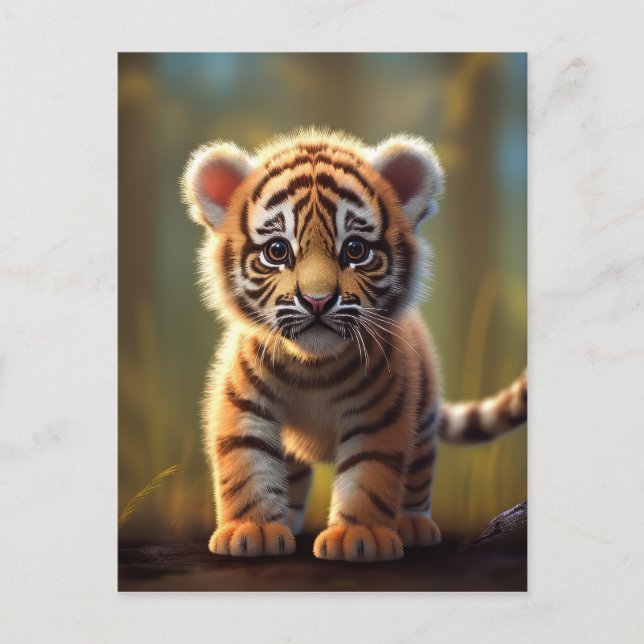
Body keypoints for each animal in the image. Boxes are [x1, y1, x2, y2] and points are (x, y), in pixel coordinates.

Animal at [181, 128, 527, 562]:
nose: (316, 301)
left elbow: (368, 476)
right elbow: (248, 464)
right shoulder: (244, 403)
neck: (311, 365)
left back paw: (413, 524)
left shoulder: (381, 413)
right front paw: (252, 531)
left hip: (424, 417)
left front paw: (359, 539)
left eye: (355, 250)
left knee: (418, 471)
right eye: (277, 250)